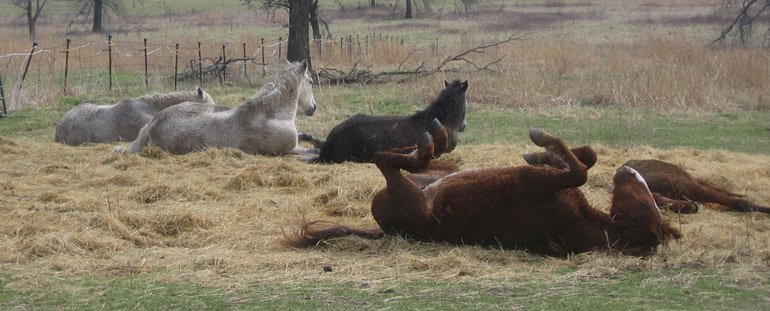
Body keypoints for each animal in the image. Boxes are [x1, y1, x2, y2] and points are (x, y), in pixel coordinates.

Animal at [115, 61, 318, 156]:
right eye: (310, 81)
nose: (313, 108)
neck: (271, 115)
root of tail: (153, 122)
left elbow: (307, 137)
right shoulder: (288, 150)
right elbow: (312, 151)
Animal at [286, 128, 680, 258]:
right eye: (648, 200)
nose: (628, 171)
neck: (581, 222)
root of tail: (385, 229)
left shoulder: (534, 182)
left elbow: (580, 171)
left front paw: (542, 143)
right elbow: (587, 157)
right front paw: (544, 153)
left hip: (408, 194)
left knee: (387, 162)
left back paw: (426, 143)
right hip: (444, 172)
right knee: (413, 158)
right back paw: (432, 138)